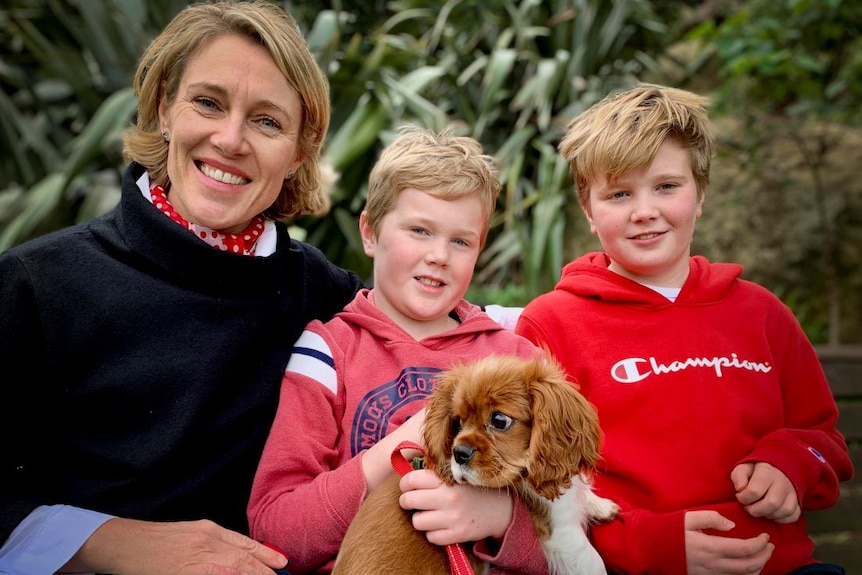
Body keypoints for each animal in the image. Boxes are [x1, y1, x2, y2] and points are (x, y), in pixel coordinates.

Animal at [332, 356, 620, 575]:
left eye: (500, 420)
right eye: (458, 422)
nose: (459, 453)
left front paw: (599, 505)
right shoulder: (560, 532)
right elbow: (593, 561)